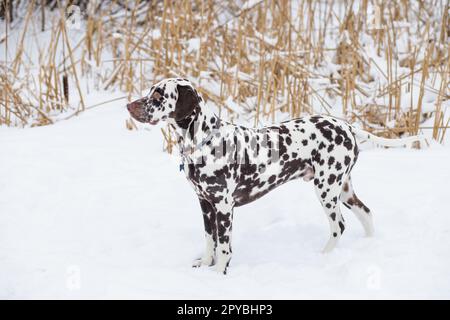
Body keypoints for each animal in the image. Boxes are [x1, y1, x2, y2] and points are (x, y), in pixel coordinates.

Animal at [127, 77, 426, 276]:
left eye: (158, 95)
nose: (129, 105)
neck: (206, 140)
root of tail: (347, 126)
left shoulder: (223, 207)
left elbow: (223, 247)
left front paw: (218, 274)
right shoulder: (205, 204)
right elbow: (210, 241)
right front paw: (203, 265)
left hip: (326, 189)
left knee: (338, 226)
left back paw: (323, 258)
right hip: (344, 190)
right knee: (366, 213)